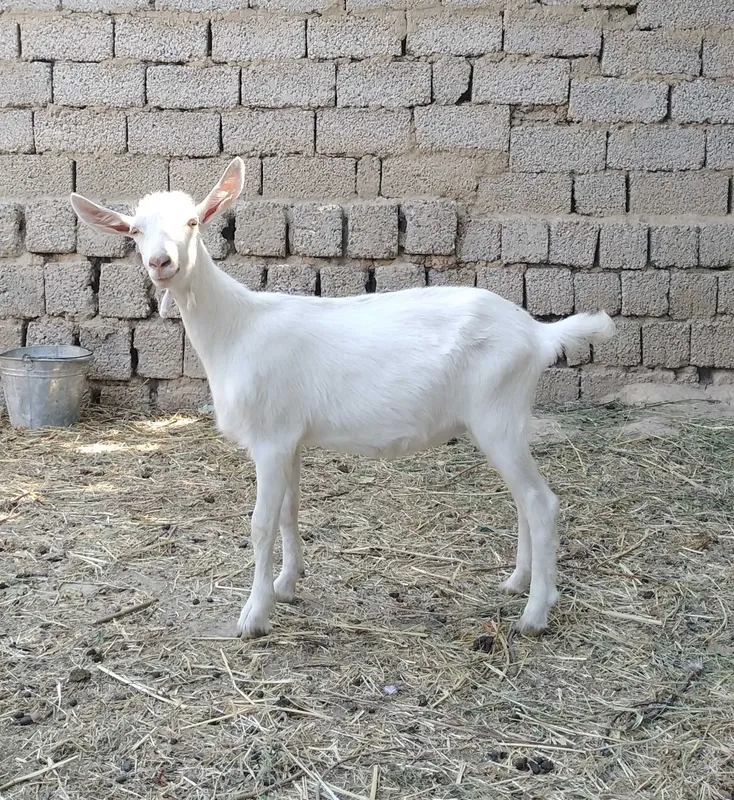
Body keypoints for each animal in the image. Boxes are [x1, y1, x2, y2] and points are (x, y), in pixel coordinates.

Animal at [71, 157, 615, 639]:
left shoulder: (269, 439)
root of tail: (538, 334)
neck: (236, 329)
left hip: (498, 415)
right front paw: (287, 584)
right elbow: (289, 511)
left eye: (191, 222)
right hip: (503, 421)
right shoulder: (289, 438)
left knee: (541, 502)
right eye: (134, 232)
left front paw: (255, 615)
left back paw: (535, 614)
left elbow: (261, 524)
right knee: (523, 500)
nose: (161, 263)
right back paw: (518, 582)